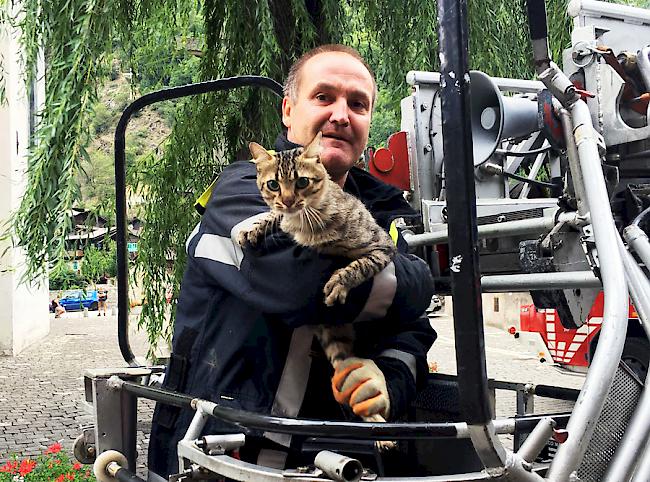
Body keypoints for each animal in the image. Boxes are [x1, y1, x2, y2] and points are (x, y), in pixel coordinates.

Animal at [238, 133, 394, 426]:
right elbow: (275, 216)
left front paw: (339, 282)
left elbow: (359, 265)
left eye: (302, 182)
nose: (288, 201)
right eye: (273, 184)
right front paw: (254, 228)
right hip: (331, 338)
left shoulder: (383, 247)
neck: (307, 221)